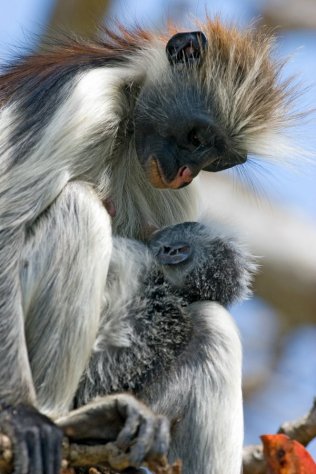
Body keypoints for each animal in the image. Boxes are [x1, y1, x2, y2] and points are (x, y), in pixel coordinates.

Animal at [0, 20, 296, 474]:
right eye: (196, 137)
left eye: (219, 161)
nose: (185, 173)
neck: (127, 117)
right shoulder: (83, 101)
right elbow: (6, 228)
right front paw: (19, 413)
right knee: (80, 209)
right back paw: (61, 419)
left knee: (213, 325)